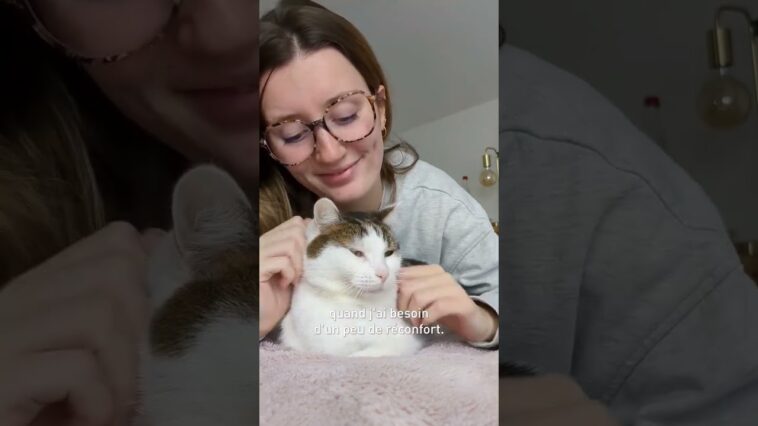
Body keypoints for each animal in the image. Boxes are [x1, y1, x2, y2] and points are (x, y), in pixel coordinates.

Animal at [278, 197, 424, 357]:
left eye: (388, 253)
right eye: (357, 253)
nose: (384, 274)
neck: (350, 305)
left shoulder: (404, 341)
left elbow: (365, 354)